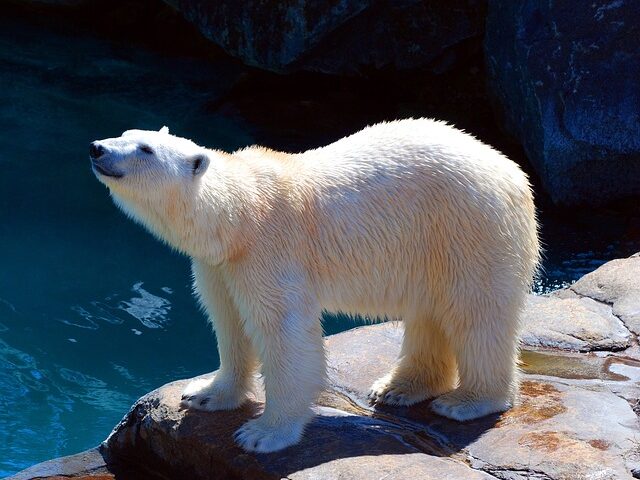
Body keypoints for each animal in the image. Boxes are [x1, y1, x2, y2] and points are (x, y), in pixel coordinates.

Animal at [90, 119, 540, 453]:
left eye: (145, 149)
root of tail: (514, 173)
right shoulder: (220, 265)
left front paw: (263, 434)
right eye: (126, 134)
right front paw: (205, 394)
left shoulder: (269, 252)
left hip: (469, 227)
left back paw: (467, 402)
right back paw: (398, 388)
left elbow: (284, 333)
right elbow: (229, 322)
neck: (239, 215)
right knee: (430, 312)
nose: (97, 147)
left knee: (476, 313)